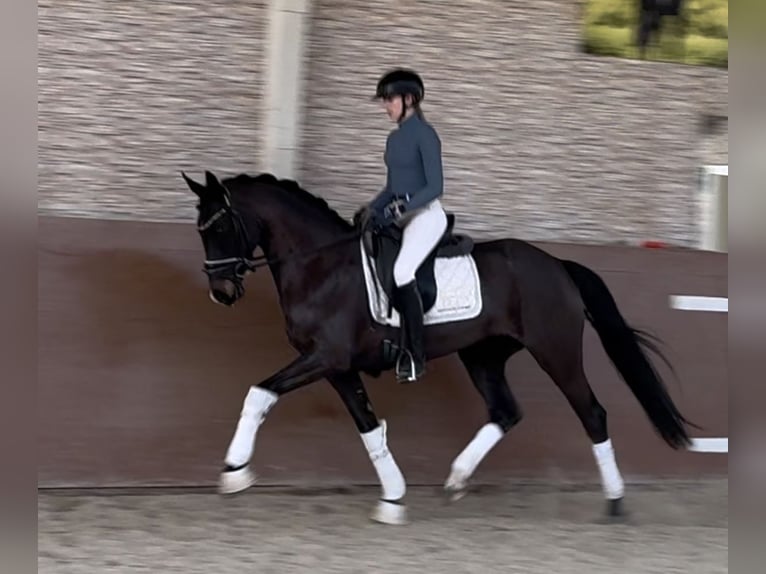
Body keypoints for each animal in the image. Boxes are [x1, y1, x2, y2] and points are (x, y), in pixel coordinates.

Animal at [182, 170, 696, 528]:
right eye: (201, 230)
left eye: (221, 227)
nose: (221, 292)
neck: (320, 265)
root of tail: (556, 264)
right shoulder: (336, 367)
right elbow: (368, 427)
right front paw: (393, 497)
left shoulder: (325, 358)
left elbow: (259, 393)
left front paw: (234, 470)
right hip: (483, 356)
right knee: (506, 412)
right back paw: (456, 478)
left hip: (557, 352)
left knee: (591, 413)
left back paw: (614, 501)